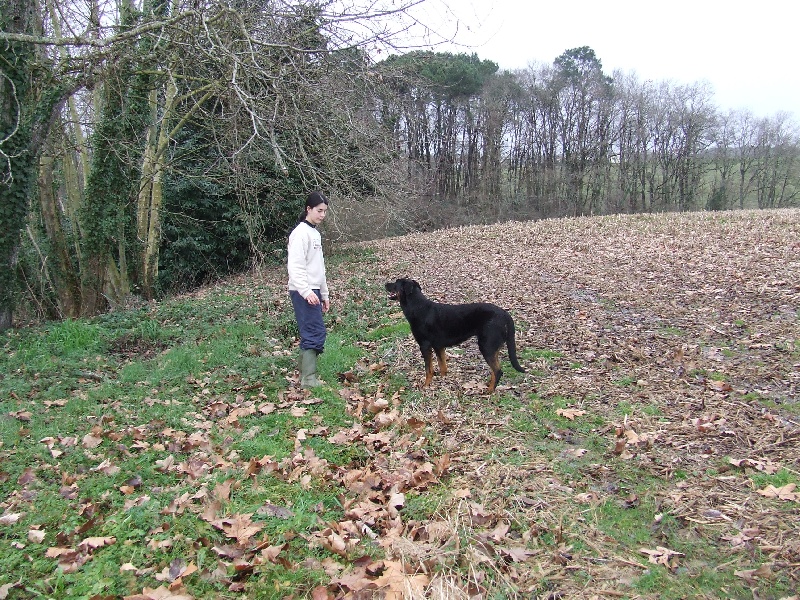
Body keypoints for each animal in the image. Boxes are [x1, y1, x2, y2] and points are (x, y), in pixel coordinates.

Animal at [386, 278, 524, 394]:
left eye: (396, 282)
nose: (385, 284)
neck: (418, 307)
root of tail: (505, 315)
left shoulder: (425, 346)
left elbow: (428, 369)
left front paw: (426, 386)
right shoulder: (438, 346)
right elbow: (442, 366)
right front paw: (443, 381)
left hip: (486, 346)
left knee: (498, 371)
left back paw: (489, 391)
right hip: (492, 346)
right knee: (495, 369)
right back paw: (489, 384)